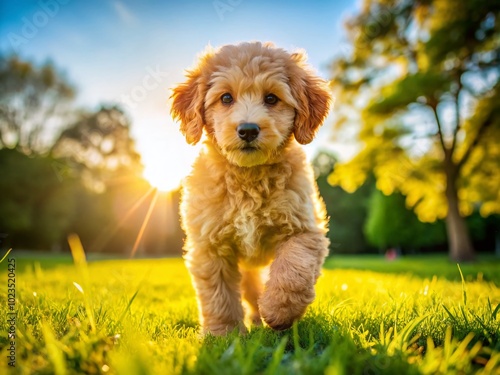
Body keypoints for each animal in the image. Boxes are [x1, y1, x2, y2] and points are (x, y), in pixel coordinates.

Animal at [171, 42, 332, 336]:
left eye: (271, 98)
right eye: (226, 98)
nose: (247, 130)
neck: (248, 178)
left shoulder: (304, 229)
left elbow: (293, 269)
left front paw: (279, 311)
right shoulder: (210, 245)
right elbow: (218, 293)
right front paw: (223, 334)